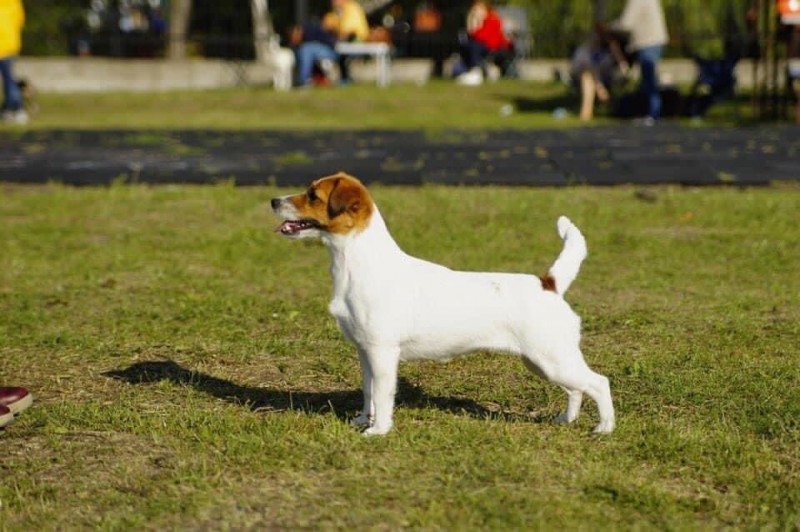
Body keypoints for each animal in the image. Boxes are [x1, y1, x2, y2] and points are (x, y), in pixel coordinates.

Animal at [271, 173, 615, 435]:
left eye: (313, 195)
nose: (273, 201)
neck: (358, 262)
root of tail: (549, 284)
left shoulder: (382, 351)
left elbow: (382, 394)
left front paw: (378, 430)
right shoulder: (365, 351)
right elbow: (369, 391)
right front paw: (361, 420)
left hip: (553, 359)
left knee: (599, 383)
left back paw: (604, 428)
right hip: (543, 362)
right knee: (575, 389)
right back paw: (566, 420)